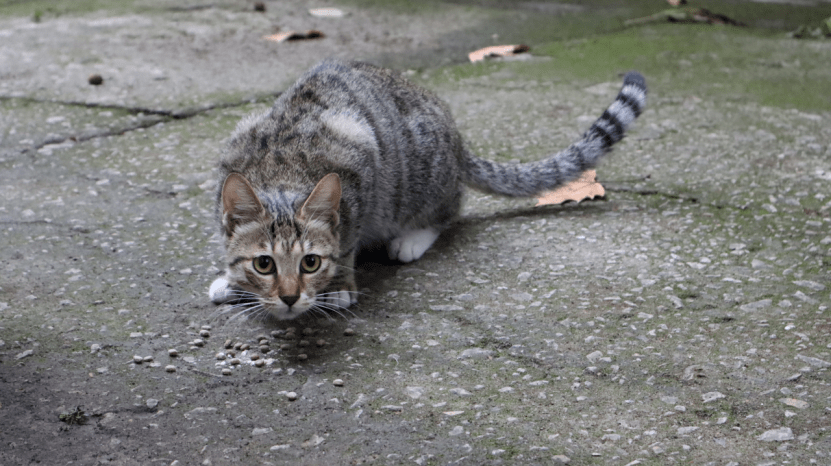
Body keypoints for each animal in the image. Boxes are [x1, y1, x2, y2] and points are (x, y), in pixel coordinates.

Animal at [210, 59, 648, 320]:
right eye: (264, 264)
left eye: (310, 262)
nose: (288, 297)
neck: (281, 174)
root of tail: (456, 140)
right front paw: (231, 280)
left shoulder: (361, 165)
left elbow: (347, 242)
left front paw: (339, 286)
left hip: (420, 177)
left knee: (449, 208)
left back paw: (412, 238)